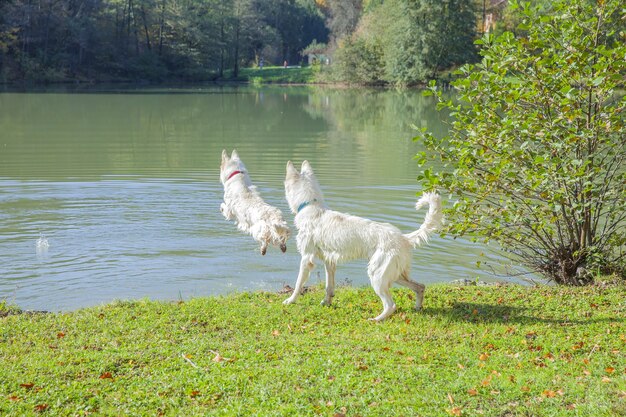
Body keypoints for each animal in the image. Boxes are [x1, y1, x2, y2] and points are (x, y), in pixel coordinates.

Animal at [280, 161, 442, 320]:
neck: (311, 207)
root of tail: (404, 238)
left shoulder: (306, 259)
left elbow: (298, 284)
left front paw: (290, 300)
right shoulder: (330, 261)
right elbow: (329, 286)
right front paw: (327, 302)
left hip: (377, 275)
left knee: (391, 305)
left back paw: (376, 320)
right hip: (395, 275)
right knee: (420, 287)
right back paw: (417, 308)